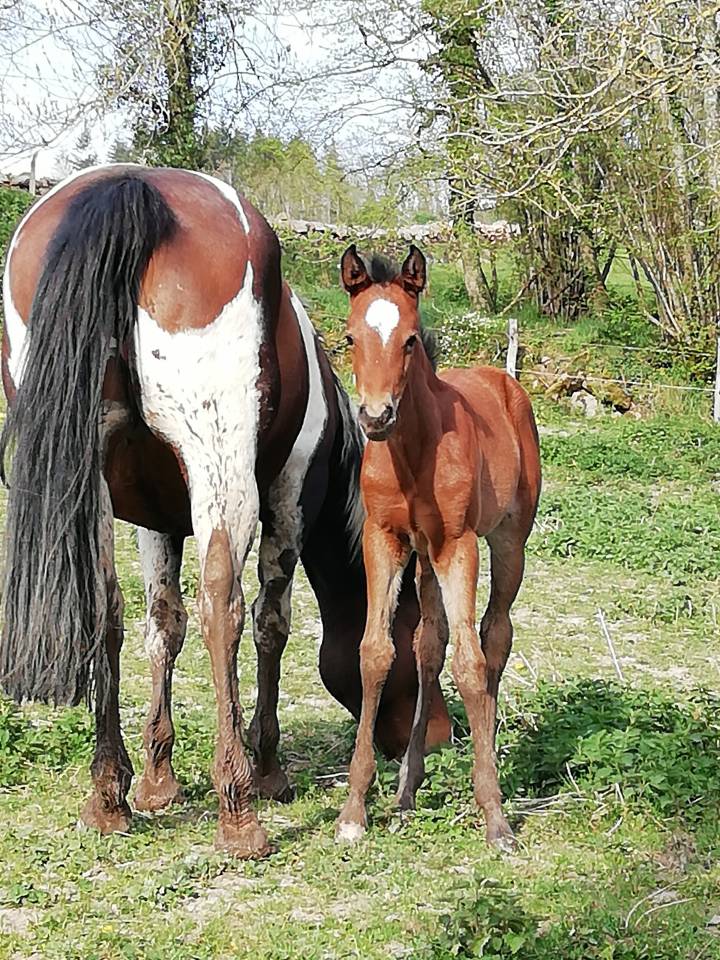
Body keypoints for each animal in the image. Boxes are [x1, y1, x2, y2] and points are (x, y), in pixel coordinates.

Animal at [0, 165, 450, 859]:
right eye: (410, 641)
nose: (442, 734)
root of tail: (129, 188)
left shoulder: (156, 519)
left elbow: (163, 624)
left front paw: (156, 779)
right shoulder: (289, 497)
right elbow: (269, 622)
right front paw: (266, 768)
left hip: (90, 476)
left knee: (106, 607)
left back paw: (107, 796)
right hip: (221, 467)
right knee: (224, 605)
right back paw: (238, 810)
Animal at [335, 244, 541, 850]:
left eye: (409, 339)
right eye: (350, 337)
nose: (375, 416)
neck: (414, 450)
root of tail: (503, 379)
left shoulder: (457, 545)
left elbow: (470, 664)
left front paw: (495, 815)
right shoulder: (386, 540)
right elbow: (377, 653)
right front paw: (355, 810)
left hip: (508, 541)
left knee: (495, 637)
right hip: (424, 560)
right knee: (428, 643)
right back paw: (407, 787)